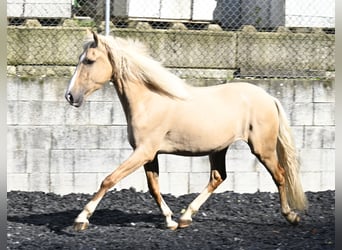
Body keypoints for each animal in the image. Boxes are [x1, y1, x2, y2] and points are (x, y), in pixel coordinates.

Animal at [64, 30, 308, 230]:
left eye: (89, 60)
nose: (70, 96)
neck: (149, 101)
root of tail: (269, 97)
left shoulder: (143, 152)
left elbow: (109, 179)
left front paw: (81, 219)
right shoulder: (149, 155)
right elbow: (153, 188)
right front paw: (170, 221)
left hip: (262, 149)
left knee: (280, 175)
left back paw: (291, 216)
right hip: (219, 149)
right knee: (218, 177)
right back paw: (185, 217)